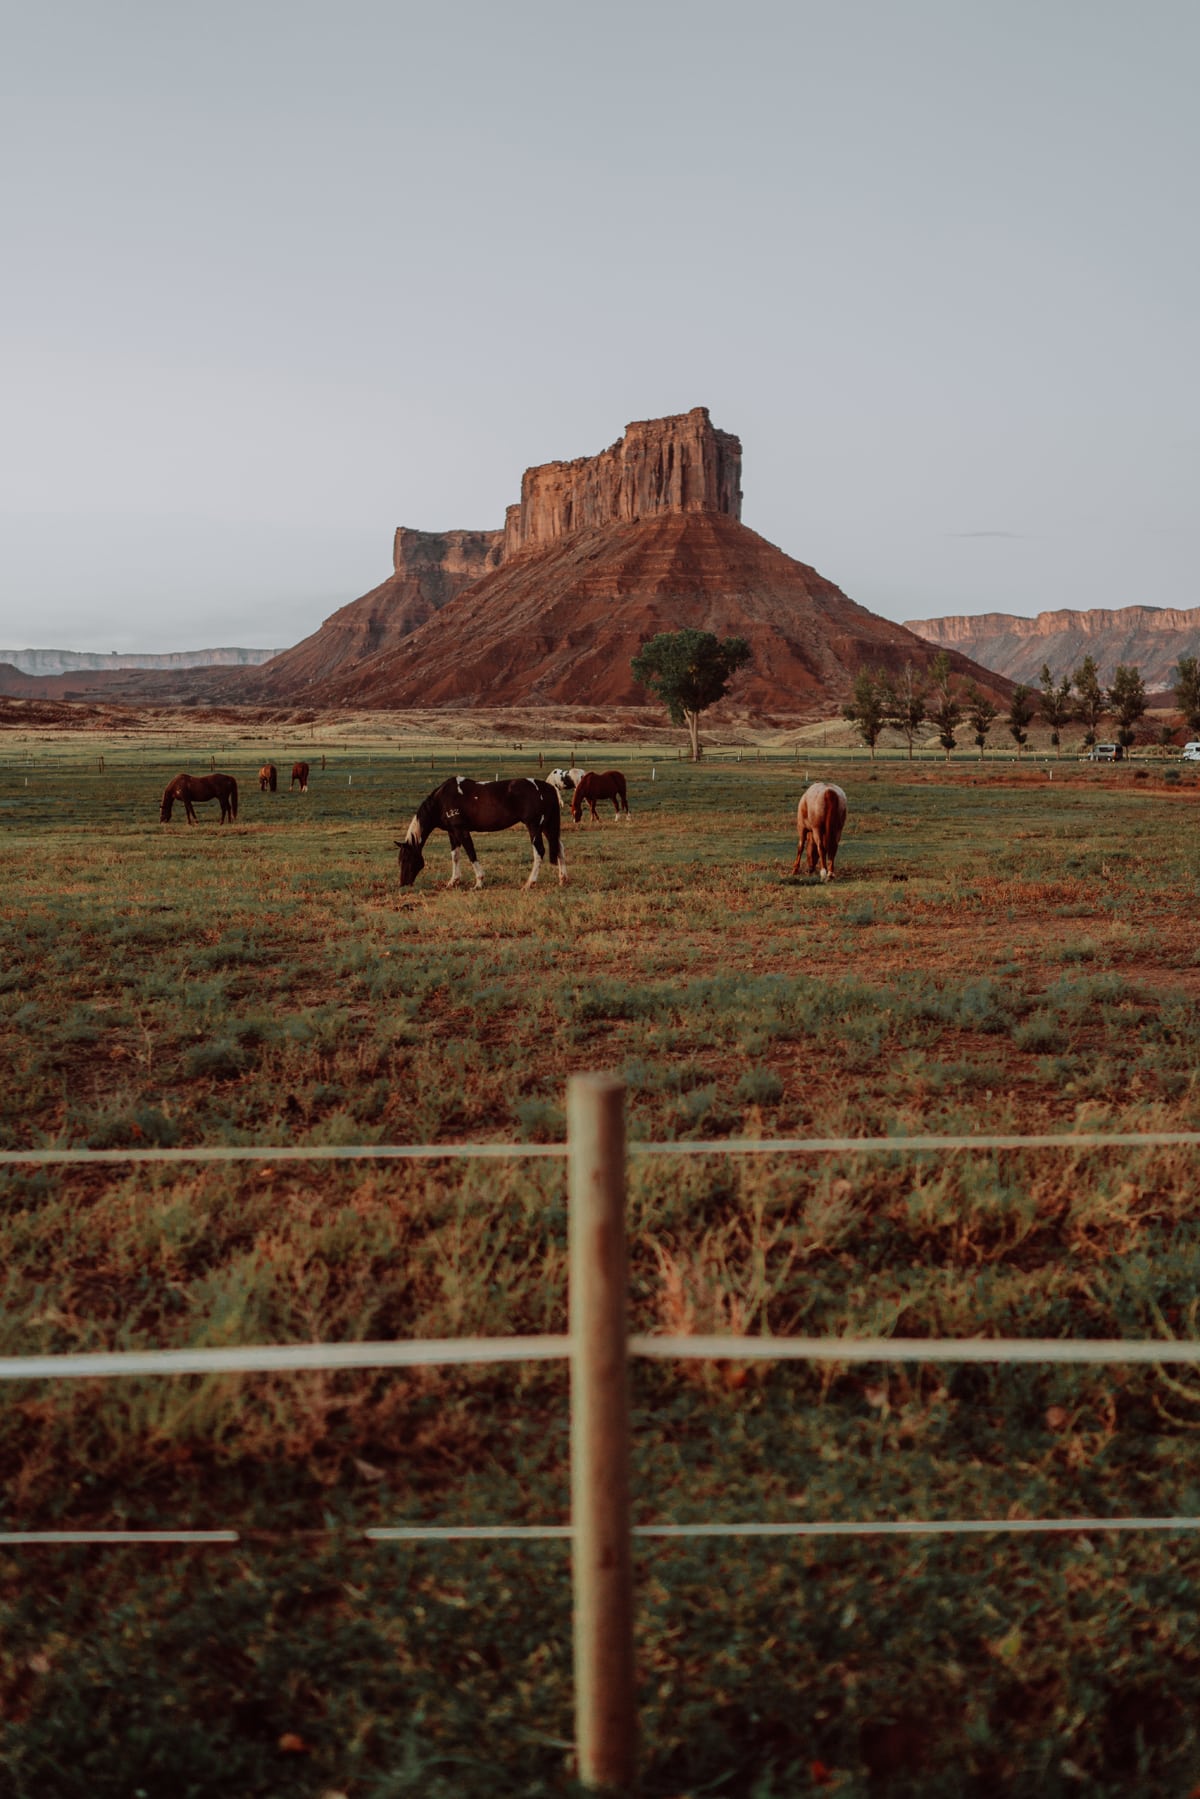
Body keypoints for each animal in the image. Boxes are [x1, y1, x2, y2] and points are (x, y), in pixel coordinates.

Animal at [396, 777, 567, 890]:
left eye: (407, 859)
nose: (403, 884)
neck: (442, 800)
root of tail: (548, 788)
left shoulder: (461, 830)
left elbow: (471, 853)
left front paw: (478, 882)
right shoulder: (452, 832)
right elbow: (455, 856)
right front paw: (453, 881)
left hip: (534, 826)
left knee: (539, 851)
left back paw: (529, 883)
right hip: (546, 826)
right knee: (559, 847)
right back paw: (562, 879)